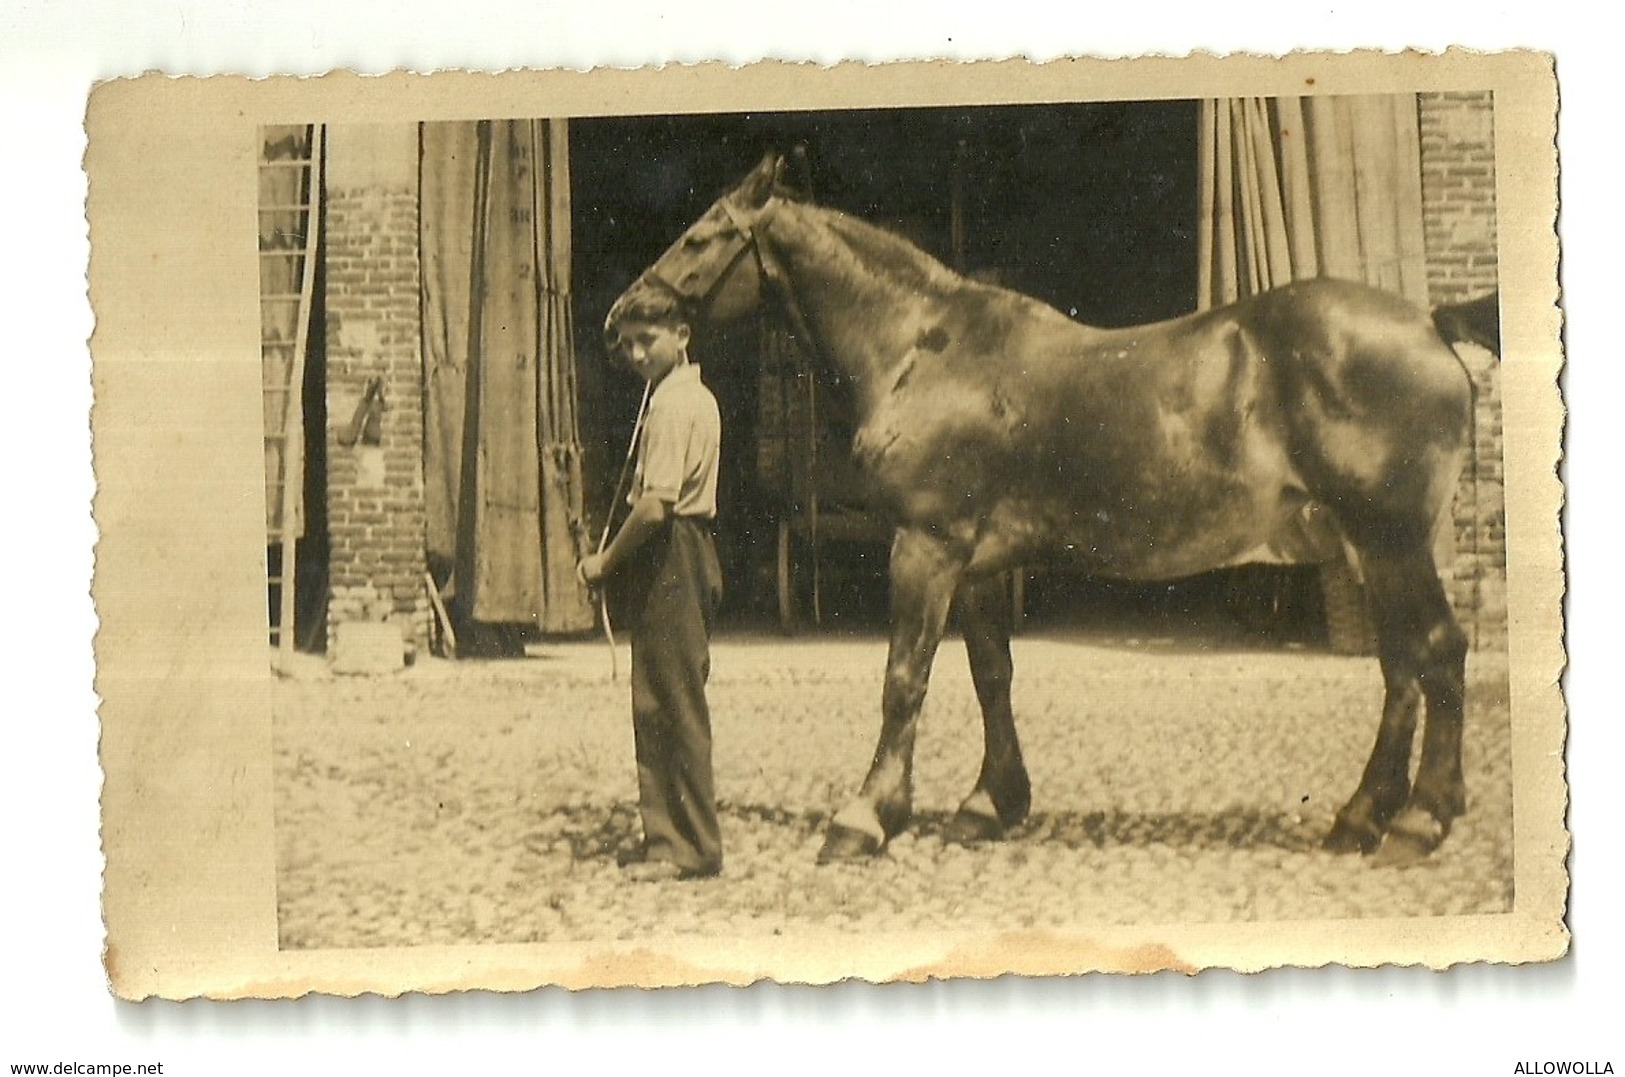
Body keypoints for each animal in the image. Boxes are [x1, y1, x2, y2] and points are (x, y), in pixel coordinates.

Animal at [607, 149, 1488, 870]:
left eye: (699, 237)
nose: (623, 320)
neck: (922, 347)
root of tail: (1427, 322)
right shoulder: (975, 560)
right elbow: (990, 671)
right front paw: (988, 803)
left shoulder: (924, 545)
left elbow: (904, 677)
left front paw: (862, 819)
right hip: (1367, 547)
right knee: (1400, 667)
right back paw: (1360, 817)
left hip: (1389, 539)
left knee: (1436, 651)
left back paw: (1416, 823)